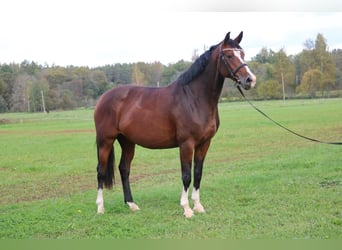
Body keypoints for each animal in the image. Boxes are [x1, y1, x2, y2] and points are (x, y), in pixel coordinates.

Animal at [95, 31, 255, 217]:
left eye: (242, 54)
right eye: (229, 56)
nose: (250, 80)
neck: (194, 98)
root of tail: (104, 97)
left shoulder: (204, 143)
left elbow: (198, 173)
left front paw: (198, 206)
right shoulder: (186, 144)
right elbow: (186, 175)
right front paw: (186, 209)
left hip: (127, 142)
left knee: (124, 169)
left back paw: (132, 204)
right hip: (105, 141)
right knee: (100, 170)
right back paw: (100, 208)